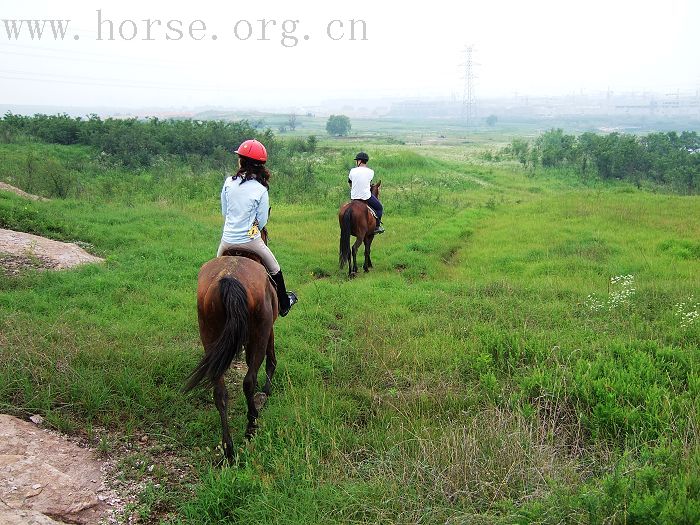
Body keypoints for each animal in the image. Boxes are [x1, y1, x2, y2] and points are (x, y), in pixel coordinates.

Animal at [185, 231, 278, 460]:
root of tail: (230, 278)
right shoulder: (269, 329)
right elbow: (271, 359)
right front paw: (267, 390)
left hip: (209, 334)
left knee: (219, 392)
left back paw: (229, 449)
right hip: (260, 332)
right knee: (249, 380)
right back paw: (251, 426)